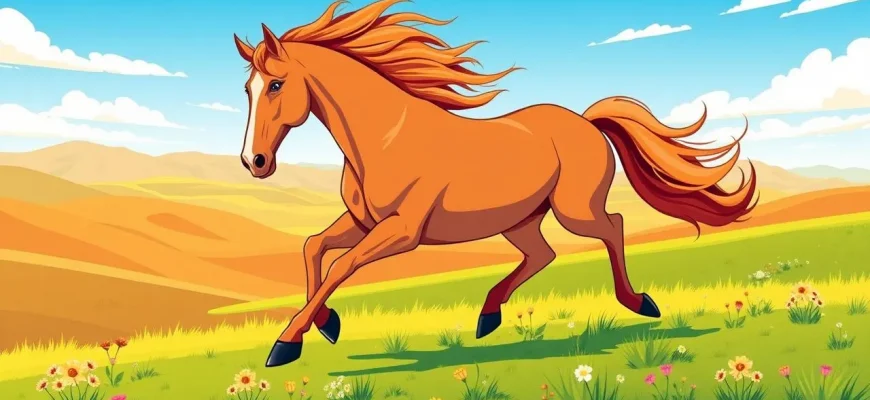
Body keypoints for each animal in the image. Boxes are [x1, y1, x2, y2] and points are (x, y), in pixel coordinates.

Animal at [232, 0, 758, 367]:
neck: (383, 138)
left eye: (275, 85)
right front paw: (326, 325)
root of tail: (586, 121)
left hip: (575, 210)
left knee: (613, 225)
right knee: (543, 254)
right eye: (247, 89)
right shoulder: (363, 222)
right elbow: (313, 247)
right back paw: (488, 317)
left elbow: (341, 266)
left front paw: (285, 344)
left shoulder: (402, 232)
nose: (254, 162)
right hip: (519, 221)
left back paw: (640, 302)